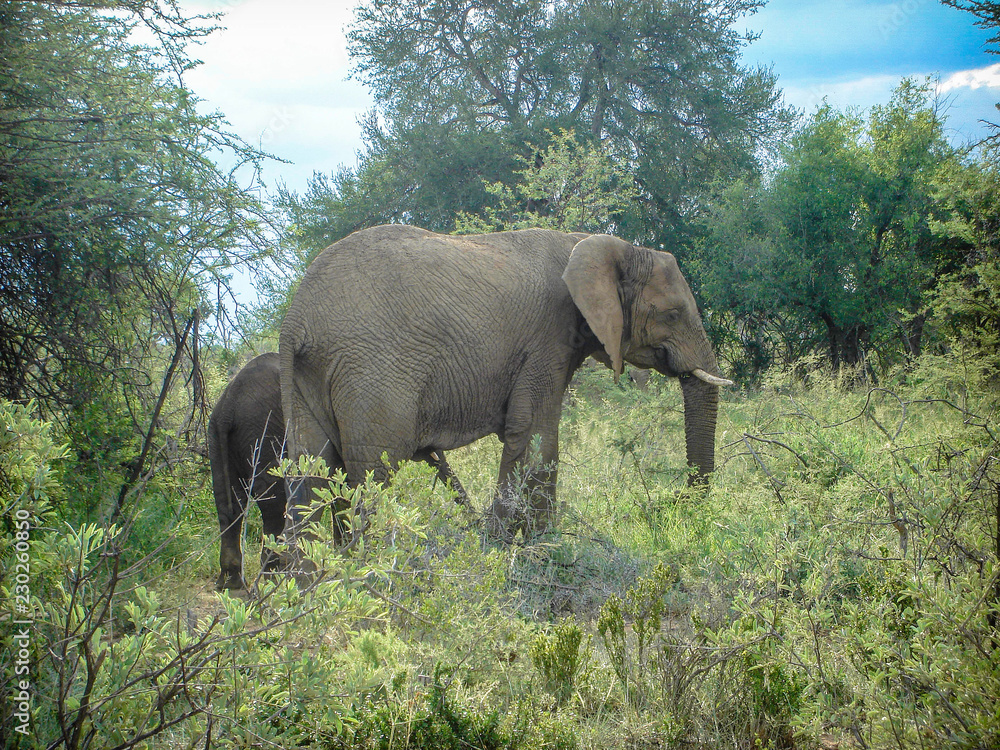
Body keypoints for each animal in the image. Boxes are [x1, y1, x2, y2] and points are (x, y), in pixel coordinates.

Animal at [209, 352, 466, 590]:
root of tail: (228, 407)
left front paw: (342, 557)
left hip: (218, 440)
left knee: (228, 505)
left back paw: (231, 585)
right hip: (263, 437)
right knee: (274, 506)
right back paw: (272, 581)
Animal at [279, 225, 731, 543]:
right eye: (672, 314)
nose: (669, 504)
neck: (595, 243)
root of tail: (294, 320)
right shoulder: (548, 337)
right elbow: (536, 435)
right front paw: (536, 547)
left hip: (307, 383)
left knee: (311, 476)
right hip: (371, 371)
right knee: (375, 471)